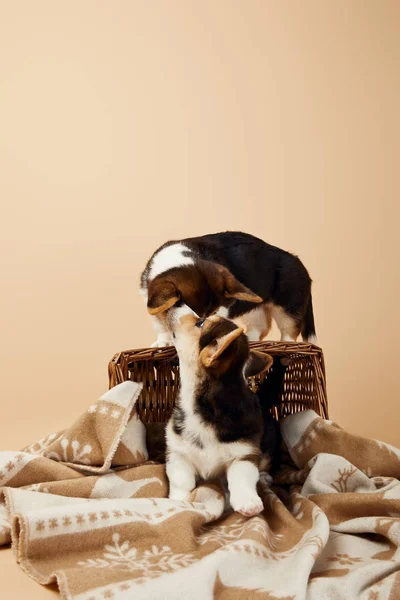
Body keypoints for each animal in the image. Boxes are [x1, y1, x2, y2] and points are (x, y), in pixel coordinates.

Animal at [139, 232, 318, 350]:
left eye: (213, 314)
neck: (179, 261)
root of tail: (299, 262)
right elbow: (162, 327)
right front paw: (163, 342)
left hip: (288, 305)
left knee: (290, 328)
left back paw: (285, 343)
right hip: (255, 307)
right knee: (260, 327)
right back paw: (251, 340)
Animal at [166, 302, 276, 516]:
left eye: (201, 322)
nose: (176, 303)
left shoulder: (245, 452)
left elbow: (242, 476)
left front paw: (248, 502)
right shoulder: (177, 452)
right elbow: (182, 480)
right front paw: (178, 500)